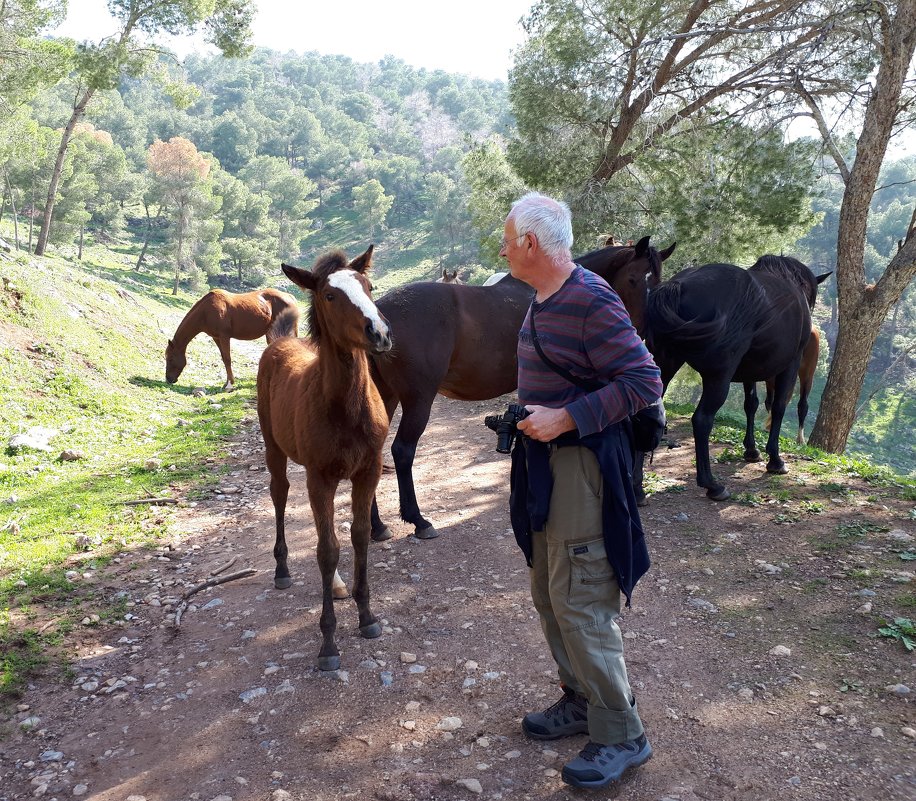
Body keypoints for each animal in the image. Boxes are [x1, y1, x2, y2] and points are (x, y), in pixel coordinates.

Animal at [166, 288, 298, 390]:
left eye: (170, 358)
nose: (168, 379)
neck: (206, 311)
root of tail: (290, 297)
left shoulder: (224, 336)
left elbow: (228, 359)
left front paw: (229, 385)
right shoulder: (216, 338)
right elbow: (224, 359)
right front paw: (227, 383)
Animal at [256, 245, 392, 668]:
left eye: (368, 286)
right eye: (330, 296)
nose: (380, 333)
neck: (345, 408)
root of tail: (281, 342)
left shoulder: (367, 472)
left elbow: (359, 537)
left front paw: (367, 617)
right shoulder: (320, 478)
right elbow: (327, 550)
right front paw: (328, 643)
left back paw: (336, 585)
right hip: (274, 449)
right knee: (280, 494)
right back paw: (282, 568)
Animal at [368, 234, 676, 540]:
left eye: (658, 281)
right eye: (634, 279)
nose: (641, 332)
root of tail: (380, 316)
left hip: (387, 396)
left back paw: (377, 525)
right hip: (418, 399)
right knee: (403, 451)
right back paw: (418, 520)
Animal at [636, 255, 832, 500]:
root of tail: (678, 285)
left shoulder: (750, 371)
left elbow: (751, 405)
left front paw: (751, 450)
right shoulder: (790, 365)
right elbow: (778, 407)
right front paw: (775, 460)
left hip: (663, 366)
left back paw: (637, 487)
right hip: (718, 378)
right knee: (702, 420)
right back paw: (711, 484)